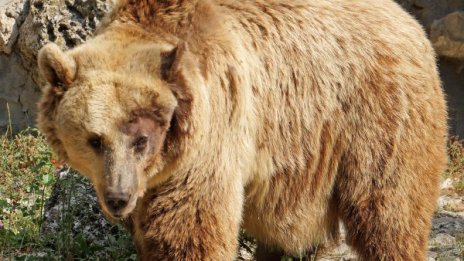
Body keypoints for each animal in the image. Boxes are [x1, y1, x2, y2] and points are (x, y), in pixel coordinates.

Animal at [37, 0, 450, 258]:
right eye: (94, 139)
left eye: (141, 139)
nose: (118, 198)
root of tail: (407, 20)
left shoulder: (212, 134)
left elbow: (189, 227)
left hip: (375, 115)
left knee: (388, 209)